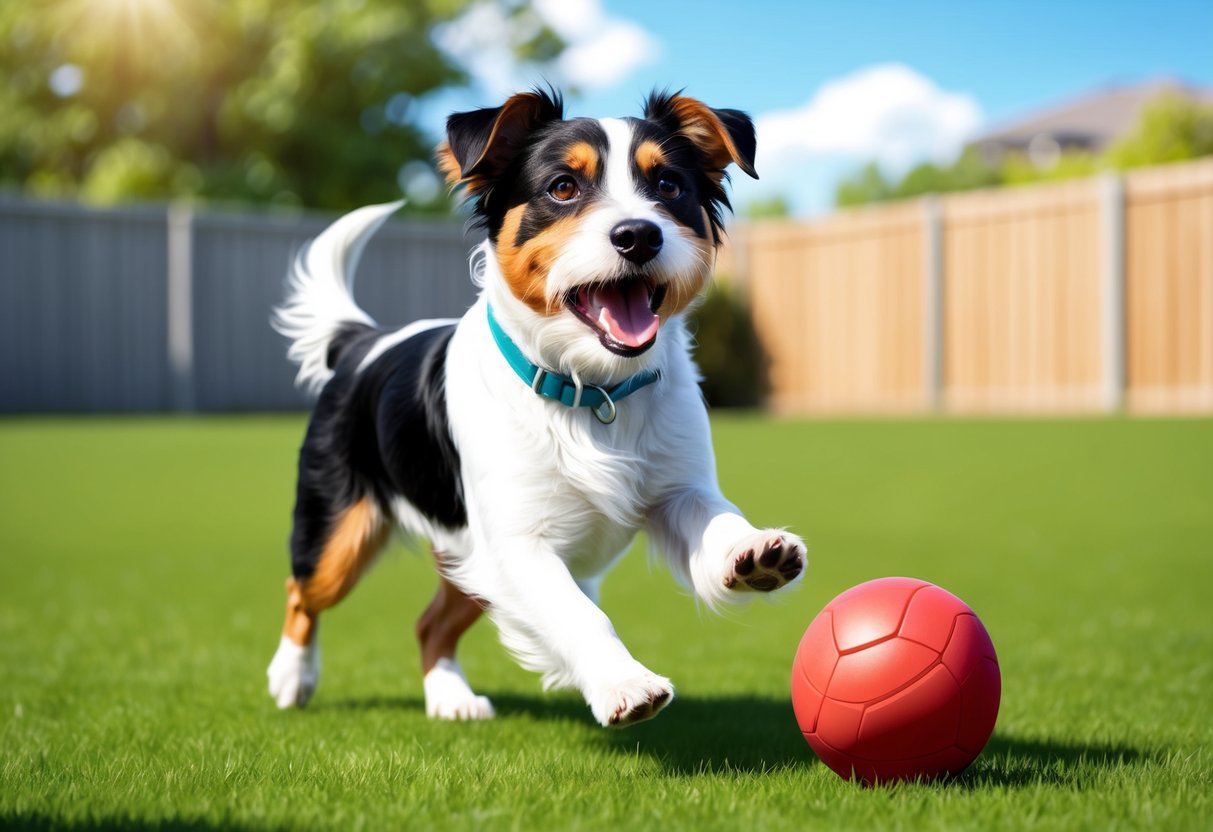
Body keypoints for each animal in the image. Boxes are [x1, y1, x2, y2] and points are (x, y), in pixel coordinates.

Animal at [270, 90, 810, 727]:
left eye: (669, 185)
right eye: (563, 187)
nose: (638, 235)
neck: (593, 390)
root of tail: (362, 343)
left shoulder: (678, 489)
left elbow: (716, 516)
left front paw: (753, 553)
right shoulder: (517, 542)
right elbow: (579, 614)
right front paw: (625, 684)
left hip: (466, 558)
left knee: (430, 623)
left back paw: (450, 697)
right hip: (340, 531)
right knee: (303, 592)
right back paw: (292, 677)